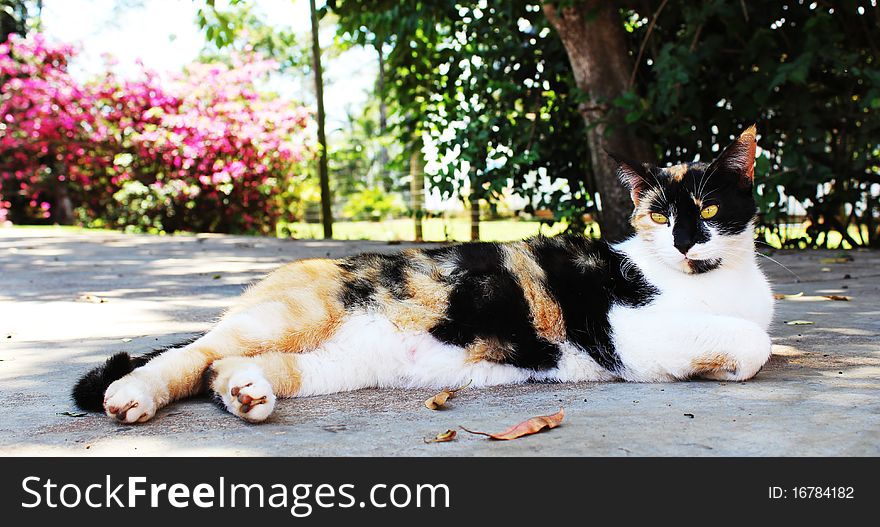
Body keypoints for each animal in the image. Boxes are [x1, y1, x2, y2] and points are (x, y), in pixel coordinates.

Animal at [75, 125, 776, 424]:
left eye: (708, 209)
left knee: (224, 368)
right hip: (292, 316)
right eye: (658, 214)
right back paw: (132, 396)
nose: (684, 241)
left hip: (336, 363)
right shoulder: (626, 332)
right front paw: (714, 363)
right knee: (190, 356)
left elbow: (756, 341)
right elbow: (754, 345)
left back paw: (247, 395)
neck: (714, 282)